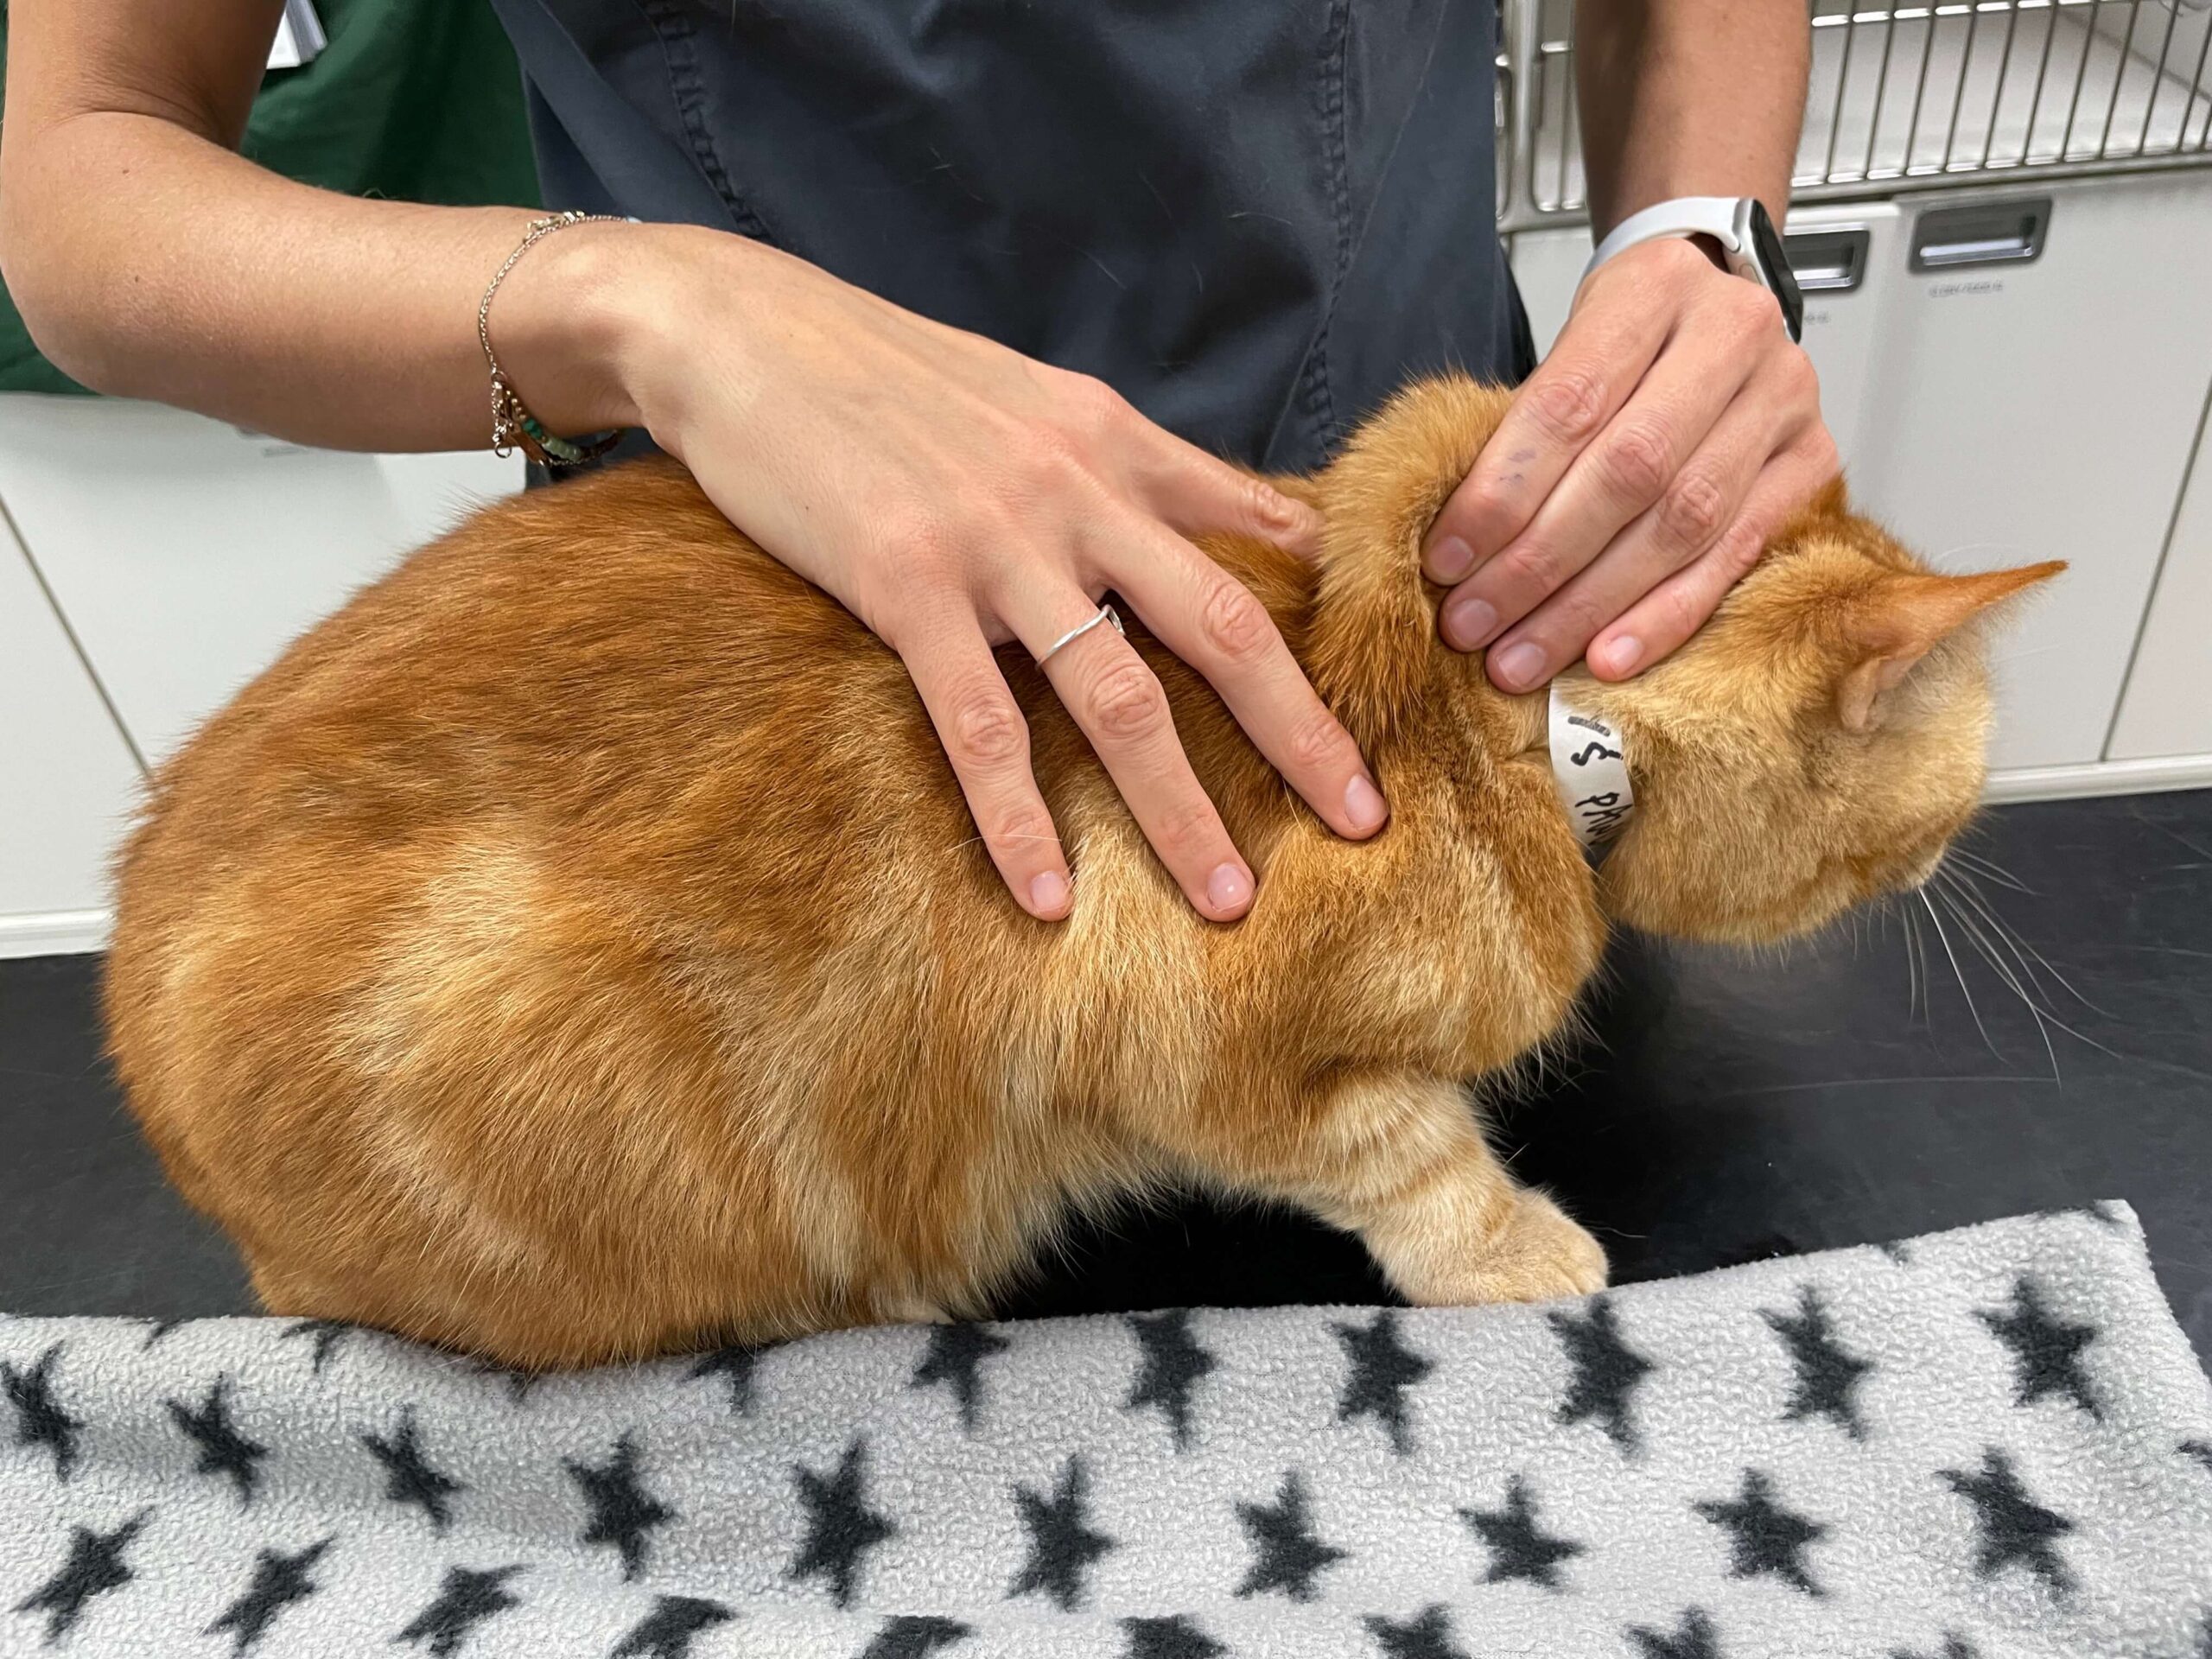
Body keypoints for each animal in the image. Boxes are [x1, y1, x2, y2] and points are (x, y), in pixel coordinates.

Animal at [104, 382, 2061, 1371]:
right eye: (1939, 812)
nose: (1962, 866)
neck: (1511, 725)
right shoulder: (1214, 1051)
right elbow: (1416, 1162)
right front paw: (1518, 1256)